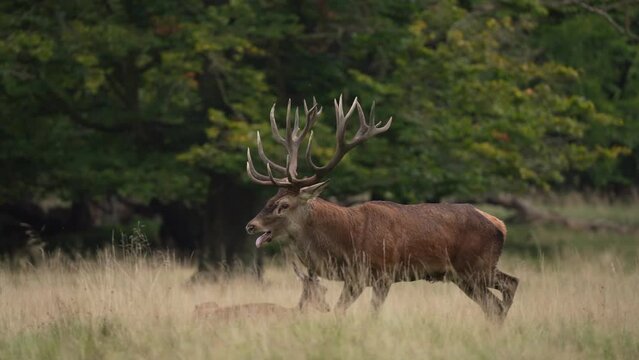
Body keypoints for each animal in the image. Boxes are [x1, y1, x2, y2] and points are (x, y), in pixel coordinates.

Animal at [245, 95, 520, 320]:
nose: (250, 225)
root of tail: (500, 224)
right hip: (464, 274)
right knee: (496, 301)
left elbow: (370, 313)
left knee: (508, 288)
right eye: (269, 200)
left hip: (475, 266)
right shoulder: (355, 278)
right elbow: (339, 311)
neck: (346, 242)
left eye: (283, 205)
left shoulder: (383, 273)